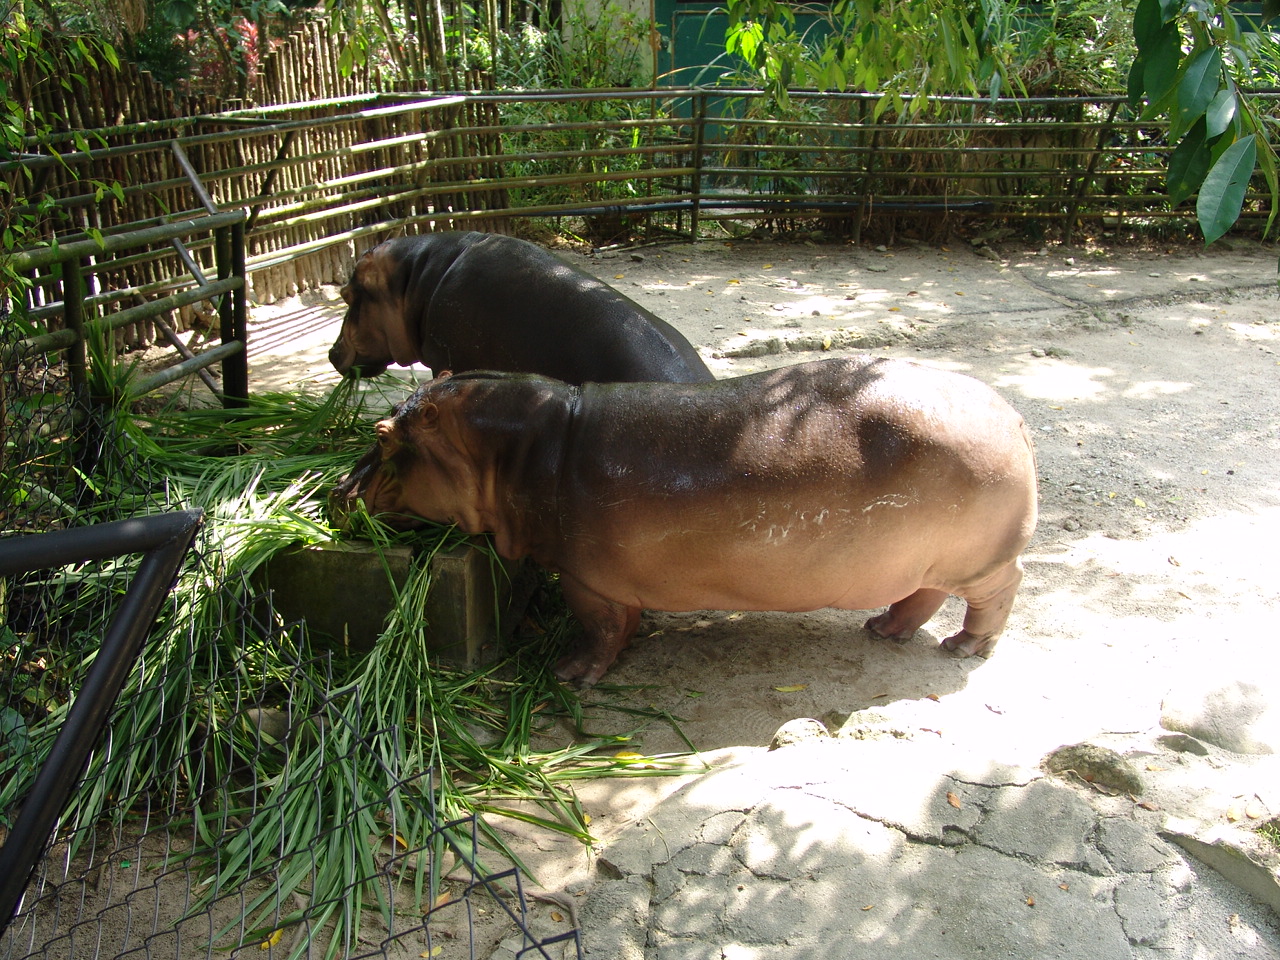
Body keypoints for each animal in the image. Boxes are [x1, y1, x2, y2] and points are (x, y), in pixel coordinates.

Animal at [332, 357, 1038, 685]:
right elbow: (624, 624)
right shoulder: (609, 578)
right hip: (928, 560)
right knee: (922, 595)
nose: (334, 493)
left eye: (384, 435)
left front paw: (570, 675)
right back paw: (883, 630)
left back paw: (964, 647)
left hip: (982, 560)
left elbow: (599, 628)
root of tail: (1014, 415)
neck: (521, 449)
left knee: (1001, 590)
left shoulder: (585, 578)